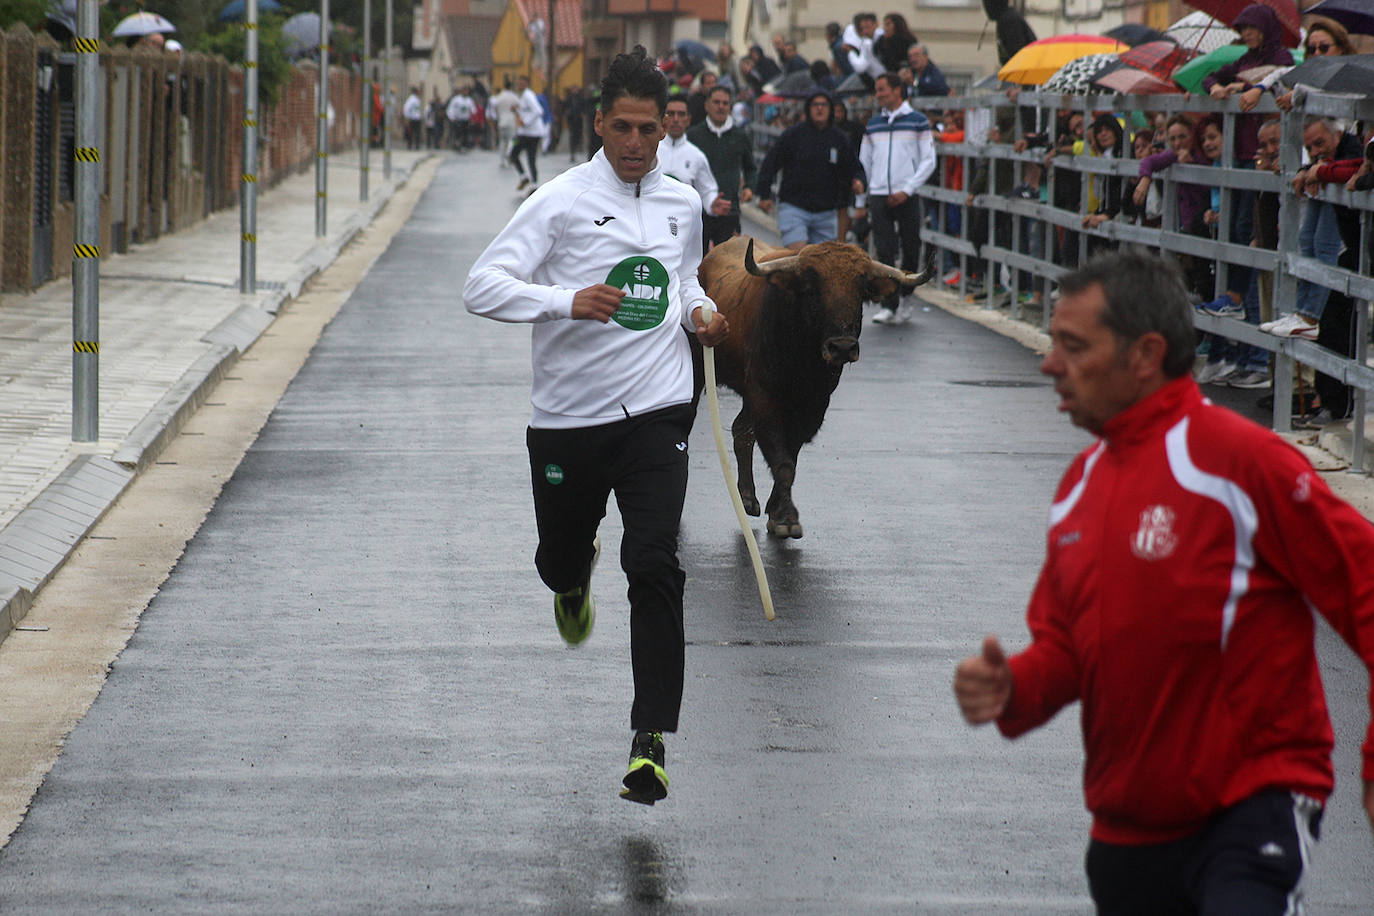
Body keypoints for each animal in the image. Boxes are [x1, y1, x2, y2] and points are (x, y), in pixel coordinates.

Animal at [697, 234, 934, 538]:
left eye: (861, 288)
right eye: (811, 287)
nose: (842, 347)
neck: (804, 362)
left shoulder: (812, 406)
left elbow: (790, 457)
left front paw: (777, 510)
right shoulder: (765, 397)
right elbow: (783, 461)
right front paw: (786, 518)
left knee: (741, 430)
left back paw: (748, 498)